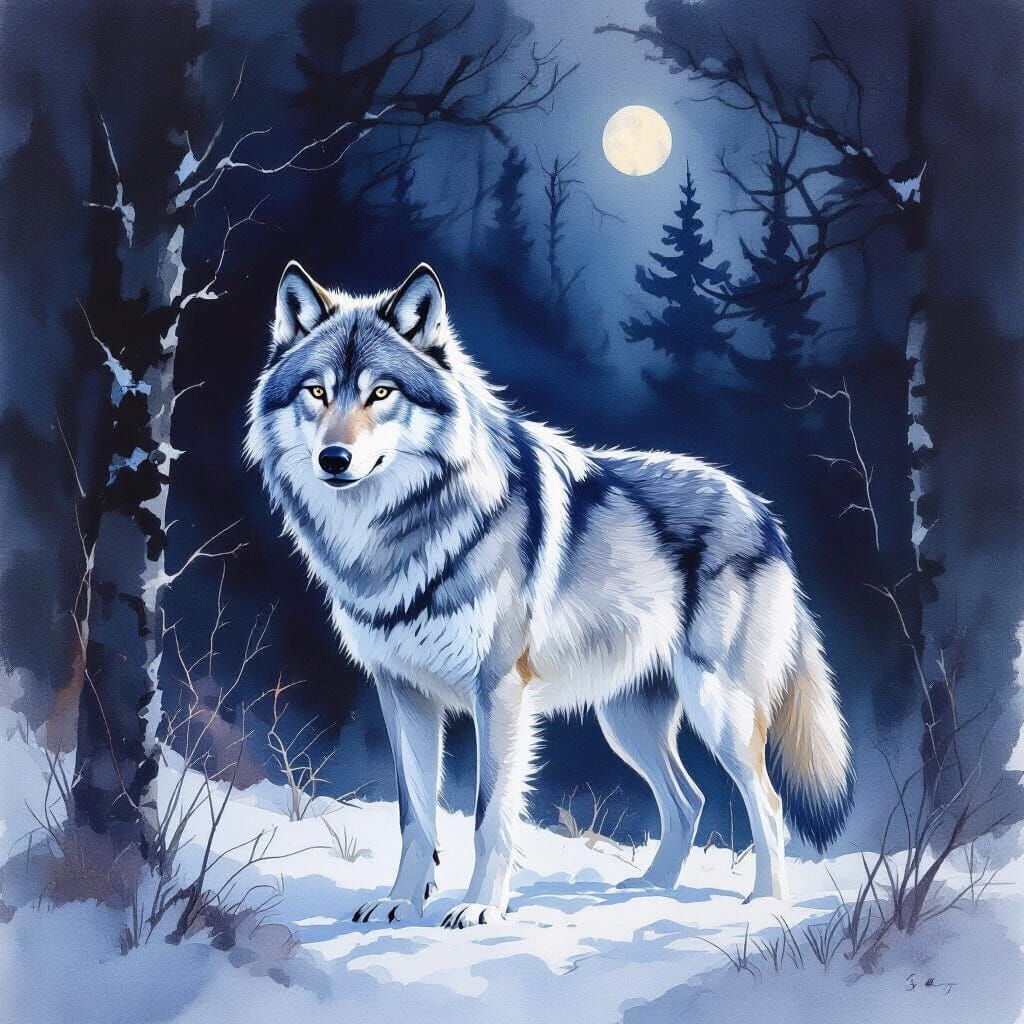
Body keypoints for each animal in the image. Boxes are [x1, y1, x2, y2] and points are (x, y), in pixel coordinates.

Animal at [246, 260, 854, 928]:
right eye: (317, 392)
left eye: (381, 393)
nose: (334, 458)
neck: (396, 534)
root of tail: (762, 510)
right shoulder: (401, 691)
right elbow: (416, 818)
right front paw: (400, 903)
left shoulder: (499, 692)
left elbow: (489, 817)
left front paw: (480, 908)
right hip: (626, 720)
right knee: (689, 799)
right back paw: (648, 890)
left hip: (718, 707)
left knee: (766, 799)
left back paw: (766, 902)